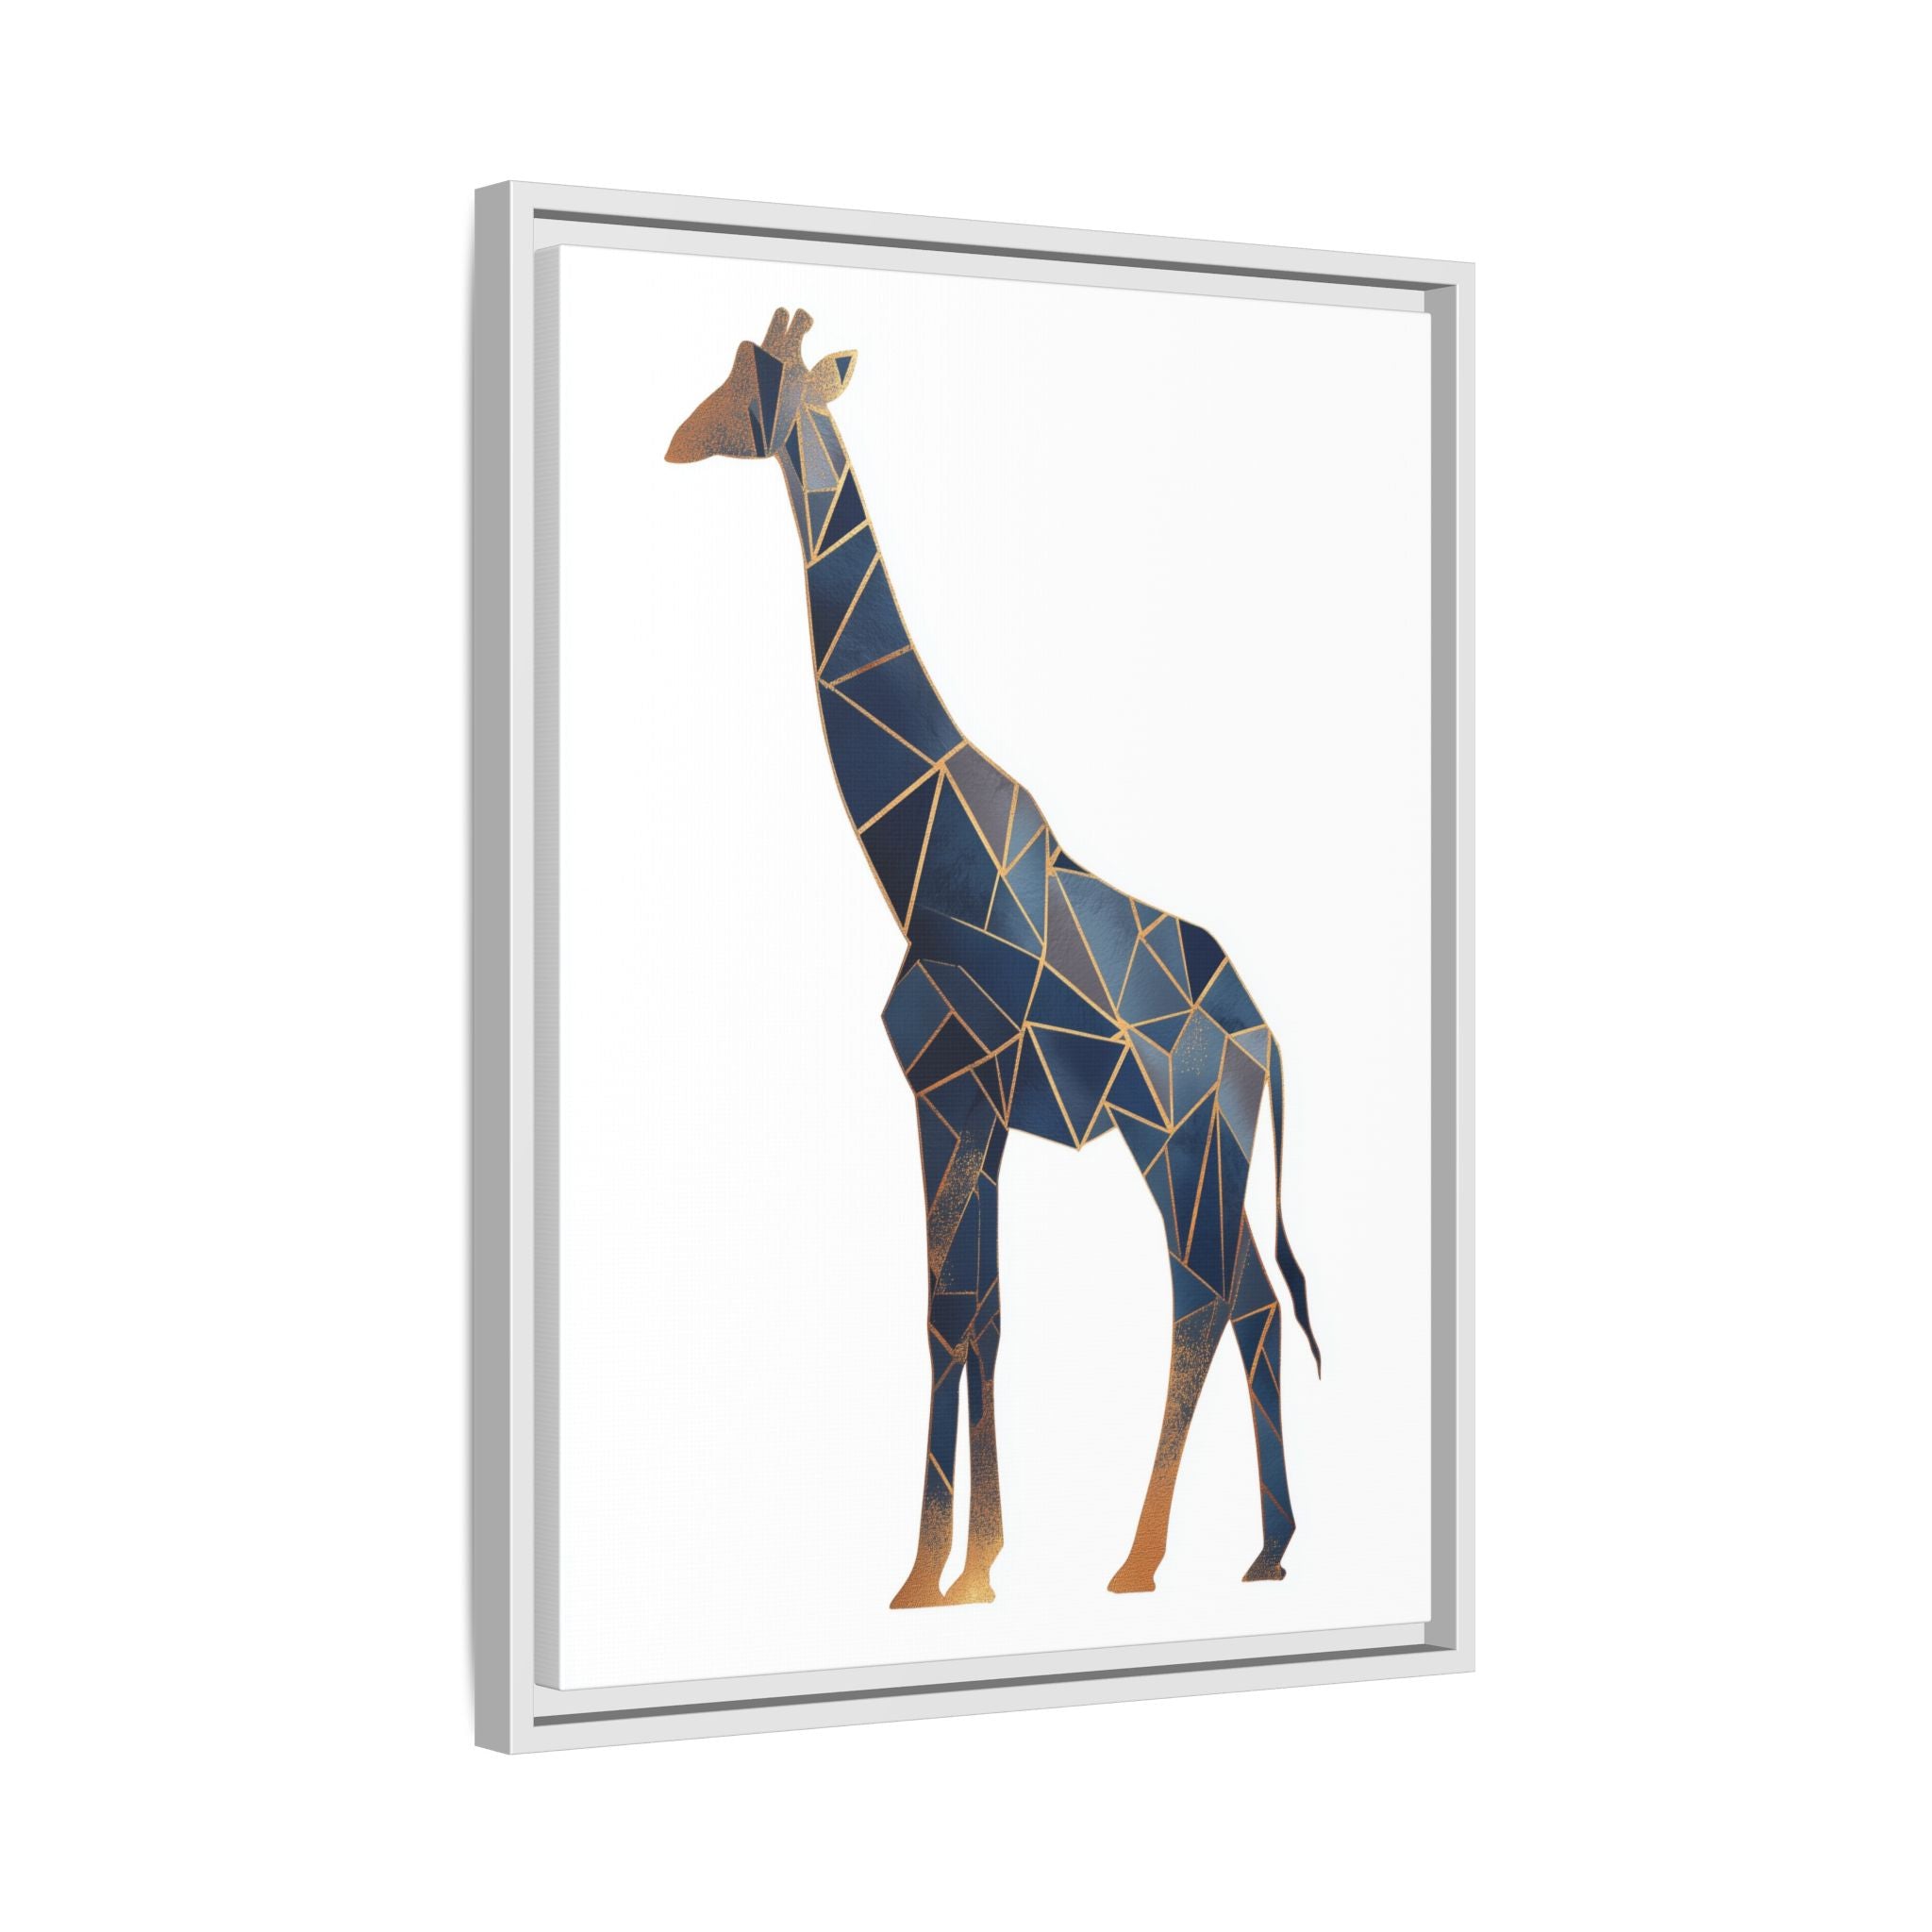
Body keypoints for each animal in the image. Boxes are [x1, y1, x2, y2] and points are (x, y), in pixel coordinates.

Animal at [667, 307, 1320, 1609]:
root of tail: (1264, 1037)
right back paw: (1266, 1548)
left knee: (1202, 1295)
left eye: (753, 384)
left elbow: (946, 1313)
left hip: (1170, 1136)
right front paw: (974, 1565)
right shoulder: (974, 1107)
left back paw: (1141, 1557)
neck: (919, 863)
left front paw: (929, 1573)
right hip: (1209, 1144)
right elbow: (983, 1314)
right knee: (1255, 1301)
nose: (675, 438)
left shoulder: (948, 1091)